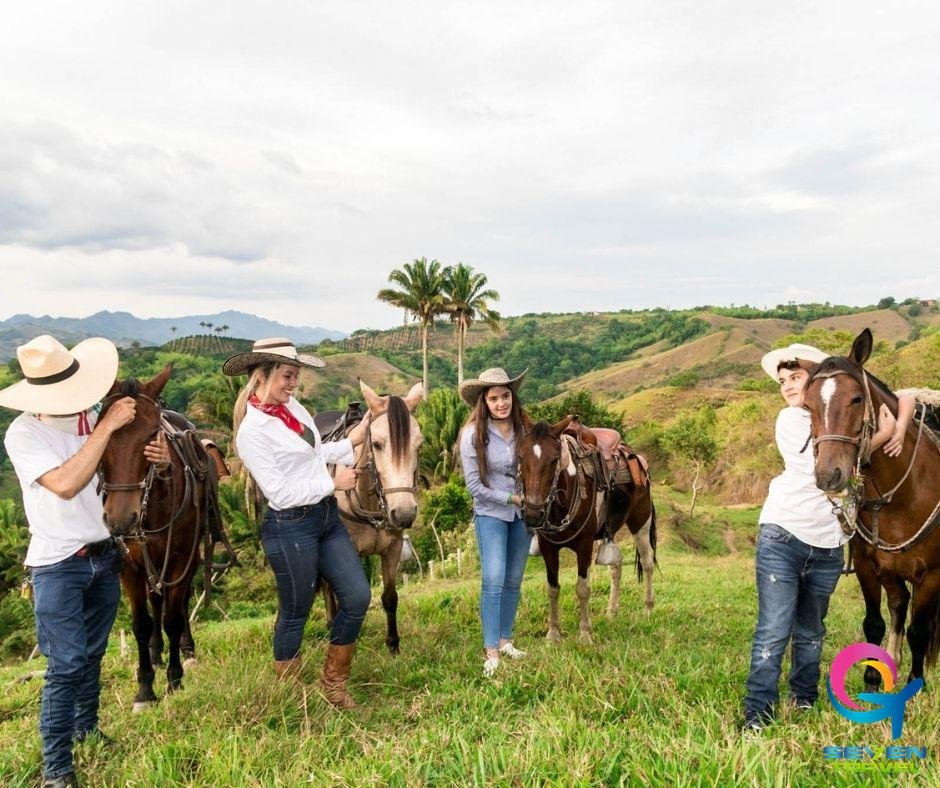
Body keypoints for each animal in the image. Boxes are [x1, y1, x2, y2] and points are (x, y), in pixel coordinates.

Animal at [99, 366, 222, 712]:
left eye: (152, 437)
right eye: (102, 434)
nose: (120, 519)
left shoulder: (181, 558)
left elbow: (173, 618)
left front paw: (175, 679)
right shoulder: (129, 564)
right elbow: (141, 623)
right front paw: (144, 688)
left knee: (179, 603)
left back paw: (186, 650)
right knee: (156, 601)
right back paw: (156, 651)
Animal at [324, 380, 424, 652]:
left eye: (418, 445)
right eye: (377, 444)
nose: (403, 513)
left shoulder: (394, 547)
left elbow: (389, 597)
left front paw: (393, 645)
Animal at [516, 416, 656, 644]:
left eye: (554, 459)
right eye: (520, 456)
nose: (533, 514)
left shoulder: (584, 545)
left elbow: (582, 588)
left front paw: (585, 634)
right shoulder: (548, 548)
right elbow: (552, 588)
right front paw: (553, 634)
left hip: (641, 523)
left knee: (647, 562)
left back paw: (648, 608)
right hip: (607, 532)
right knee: (615, 568)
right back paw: (611, 612)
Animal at [800, 330, 940, 688]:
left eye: (856, 399)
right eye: (808, 406)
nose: (828, 475)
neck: (901, 498)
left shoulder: (932, 575)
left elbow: (919, 632)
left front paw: (916, 686)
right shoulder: (868, 566)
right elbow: (874, 623)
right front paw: (872, 680)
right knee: (899, 603)